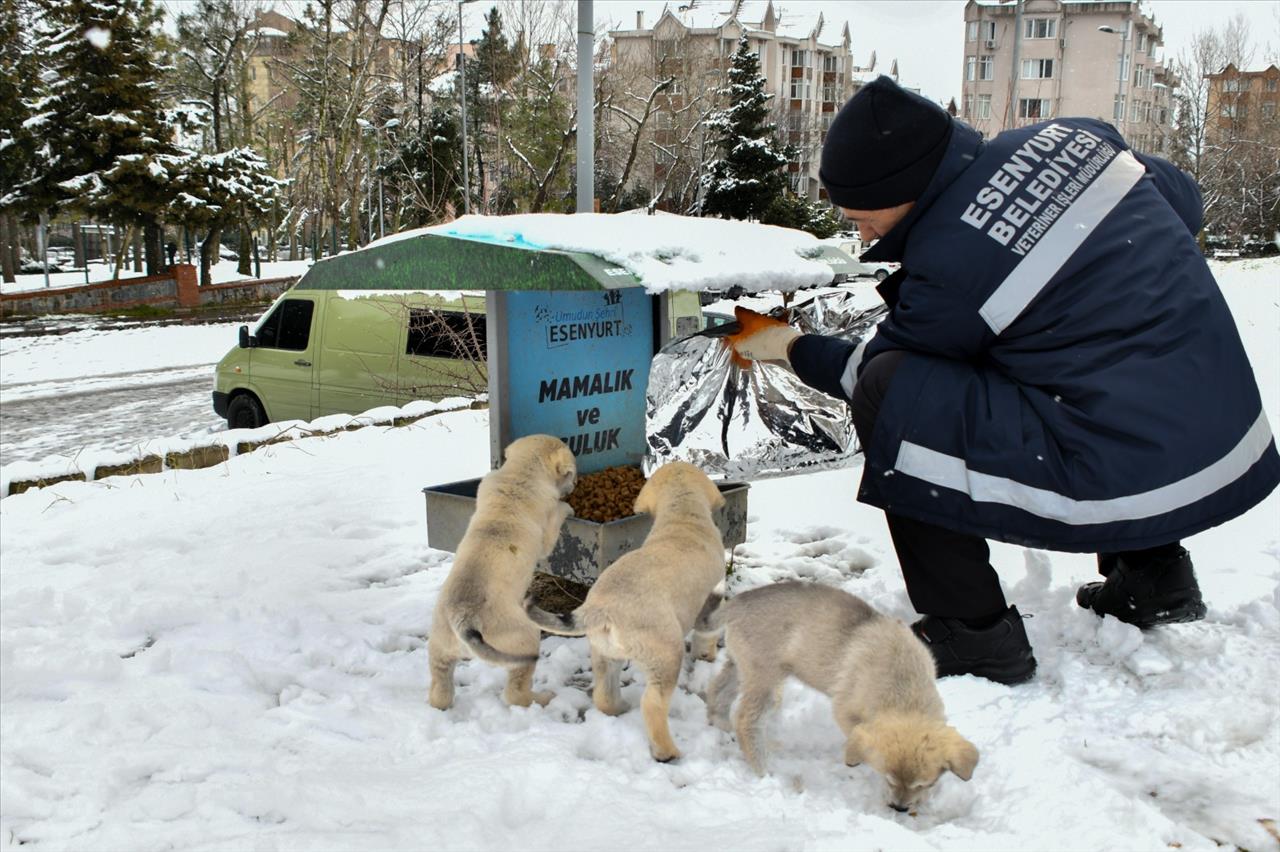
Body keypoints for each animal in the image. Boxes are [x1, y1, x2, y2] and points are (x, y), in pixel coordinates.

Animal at [424, 434, 576, 706]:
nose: (575, 485)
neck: (519, 474)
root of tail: (463, 619)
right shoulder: (547, 537)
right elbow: (558, 513)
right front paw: (568, 507)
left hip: (439, 650)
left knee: (440, 691)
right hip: (527, 636)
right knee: (516, 693)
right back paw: (542, 697)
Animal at [524, 460, 727, 757]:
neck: (682, 515)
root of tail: (601, 608)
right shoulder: (713, 596)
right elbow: (708, 634)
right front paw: (707, 656)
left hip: (604, 655)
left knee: (604, 696)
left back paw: (619, 708)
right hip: (666, 657)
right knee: (652, 705)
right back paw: (668, 752)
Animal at [701, 578, 977, 808]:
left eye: (924, 784)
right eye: (888, 779)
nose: (899, 808)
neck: (903, 687)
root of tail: (736, 604)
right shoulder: (845, 712)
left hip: (742, 666)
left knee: (718, 688)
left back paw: (720, 722)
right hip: (766, 677)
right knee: (746, 719)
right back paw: (762, 771)